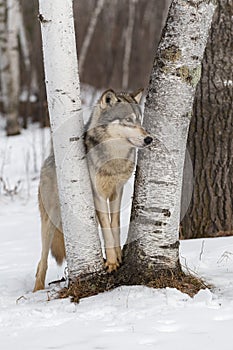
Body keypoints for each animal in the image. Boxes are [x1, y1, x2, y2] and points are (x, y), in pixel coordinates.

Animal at [33, 89, 153, 292]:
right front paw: (112, 262)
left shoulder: (117, 192)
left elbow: (114, 225)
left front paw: (118, 255)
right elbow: (106, 229)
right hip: (50, 221)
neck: (113, 160)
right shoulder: (97, 195)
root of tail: (46, 161)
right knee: (42, 261)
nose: (149, 139)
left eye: (139, 120)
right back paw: (37, 290)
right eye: (128, 120)